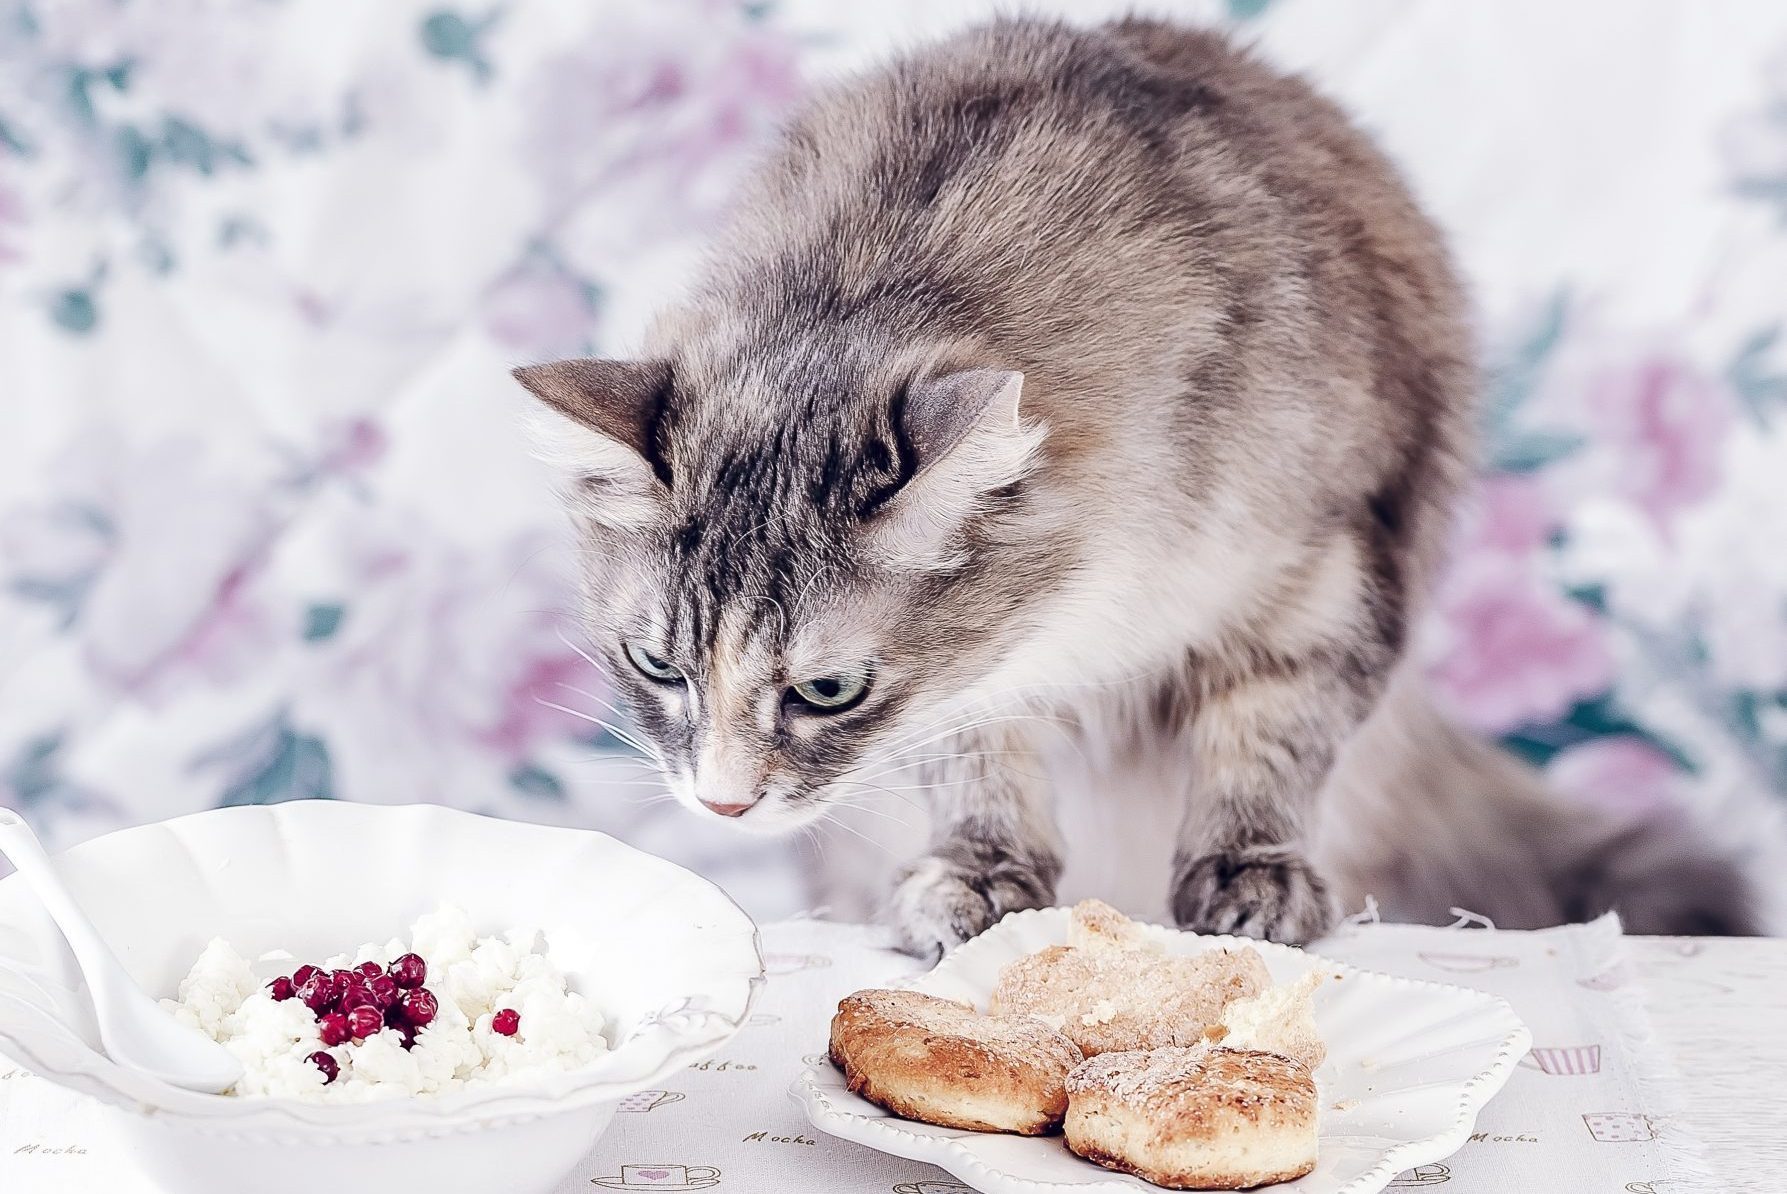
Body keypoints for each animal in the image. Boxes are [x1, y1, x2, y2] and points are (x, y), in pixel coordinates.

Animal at [514, 16, 1758, 958]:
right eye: (656, 667)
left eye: (826, 691)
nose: (721, 802)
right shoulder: (980, 692)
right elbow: (977, 764)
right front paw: (978, 879)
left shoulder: (1320, 580)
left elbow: (1265, 742)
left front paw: (1249, 881)